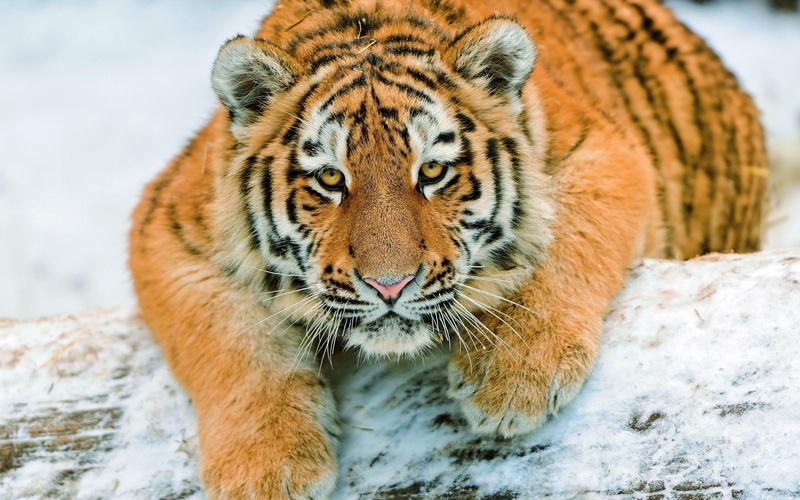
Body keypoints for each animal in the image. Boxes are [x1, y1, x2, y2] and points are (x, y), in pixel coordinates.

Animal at [129, 0, 766, 497]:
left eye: (432, 171)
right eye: (331, 179)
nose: (389, 286)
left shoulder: (602, 148)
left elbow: (561, 246)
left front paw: (514, 381)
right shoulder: (167, 224)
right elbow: (230, 342)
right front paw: (266, 470)